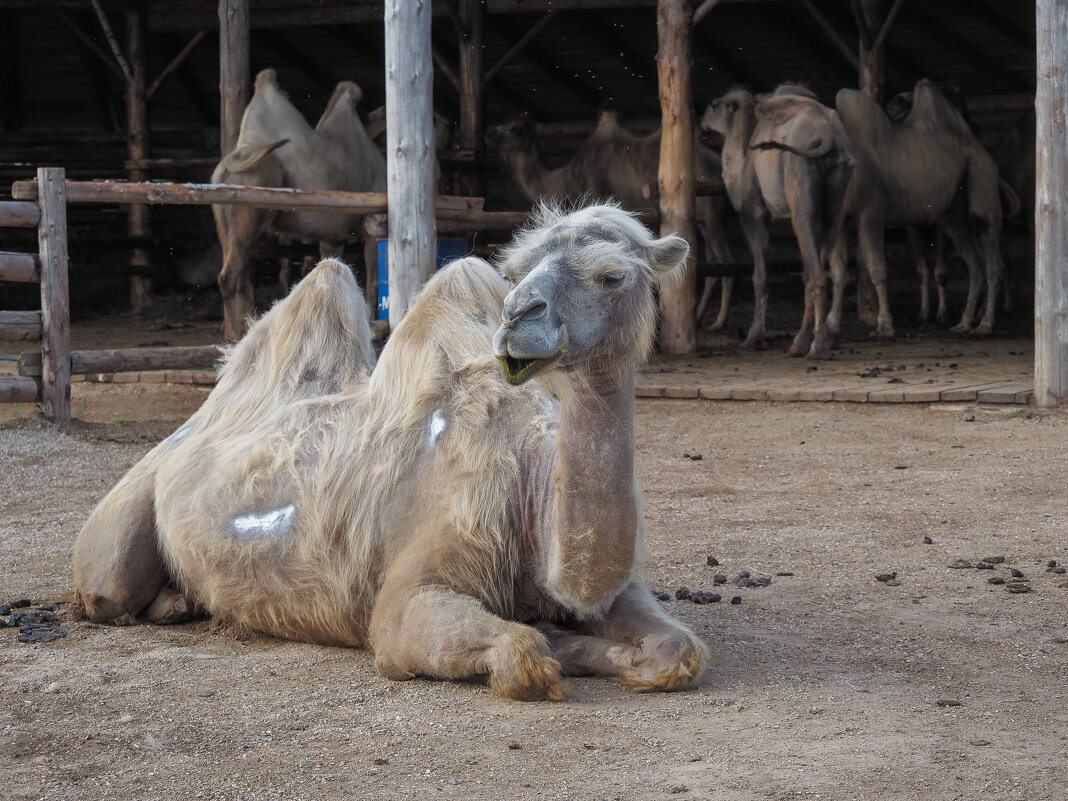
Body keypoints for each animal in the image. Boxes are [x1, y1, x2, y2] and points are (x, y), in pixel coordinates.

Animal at [73, 201, 709, 700]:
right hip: (125, 526)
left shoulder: (605, 591)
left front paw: (596, 646)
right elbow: (521, 653)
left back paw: (180, 601)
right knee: (107, 590)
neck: (532, 490)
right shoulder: (407, 595)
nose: (517, 317)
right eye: (515, 270)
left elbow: (677, 649)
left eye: (612, 276)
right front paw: (551, 643)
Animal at [210, 68, 386, 341]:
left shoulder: (334, 235)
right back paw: (237, 336)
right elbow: (373, 278)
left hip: (224, 222)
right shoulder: (371, 223)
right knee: (229, 276)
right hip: (250, 213)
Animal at [491, 110, 734, 328]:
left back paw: (720, 322)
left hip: (711, 214)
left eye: (516, 128)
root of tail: (715, 164)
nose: (490, 134)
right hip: (703, 221)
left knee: (724, 258)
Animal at [700, 86, 850, 358]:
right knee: (819, 263)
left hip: (799, 182)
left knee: (814, 270)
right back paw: (806, 341)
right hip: (839, 193)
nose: (701, 118)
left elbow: (760, 276)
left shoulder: (753, 213)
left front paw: (752, 338)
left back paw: (816, 346)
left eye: (715, 105)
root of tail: (827, 134)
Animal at [833, 83, 1008, 339]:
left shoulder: (871, 212)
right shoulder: (842, 219)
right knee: (974, 262)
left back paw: (984, 325)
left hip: (981, 176)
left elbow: (877, 267)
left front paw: (884, 327)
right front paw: (830, 326)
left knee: (992, 257)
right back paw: (964, 323)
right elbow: (838, 271)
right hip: (954, 214)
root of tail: (982, 151)